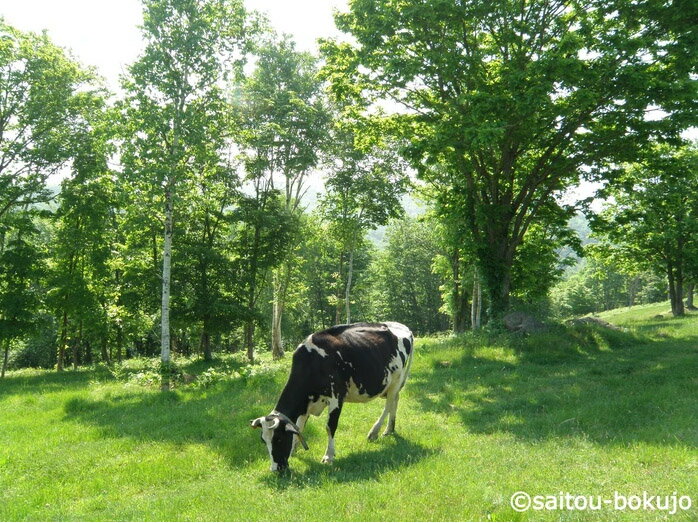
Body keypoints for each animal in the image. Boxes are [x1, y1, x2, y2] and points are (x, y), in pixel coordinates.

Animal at [250, 322, 414, 472]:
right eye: (264, 441)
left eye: (278, 439)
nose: (275, 469)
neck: (313, 362)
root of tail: (401, 326)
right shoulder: (305, 404)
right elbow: (299, 426)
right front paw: (293, 450)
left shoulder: (336, 397)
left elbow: (330, 427)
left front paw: (328, 456)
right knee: (395, 401)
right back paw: (389, 429)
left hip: (396, 379)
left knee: (389, 405)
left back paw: (374, 432)